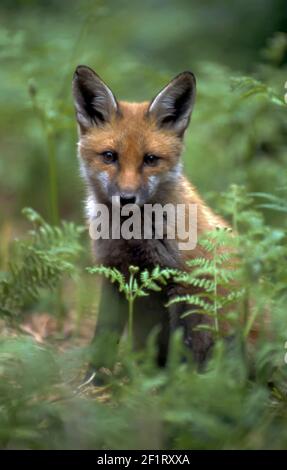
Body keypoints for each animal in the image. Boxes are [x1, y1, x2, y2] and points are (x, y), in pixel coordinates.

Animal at [72, 66, 230, 382]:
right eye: (110, 156)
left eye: (150, 159)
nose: (126, 199)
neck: (132, 237)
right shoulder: (113, 274)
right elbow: (103, 337)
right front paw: (93, 379)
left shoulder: (185, 285)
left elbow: (184, 353)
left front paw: (173, 390)